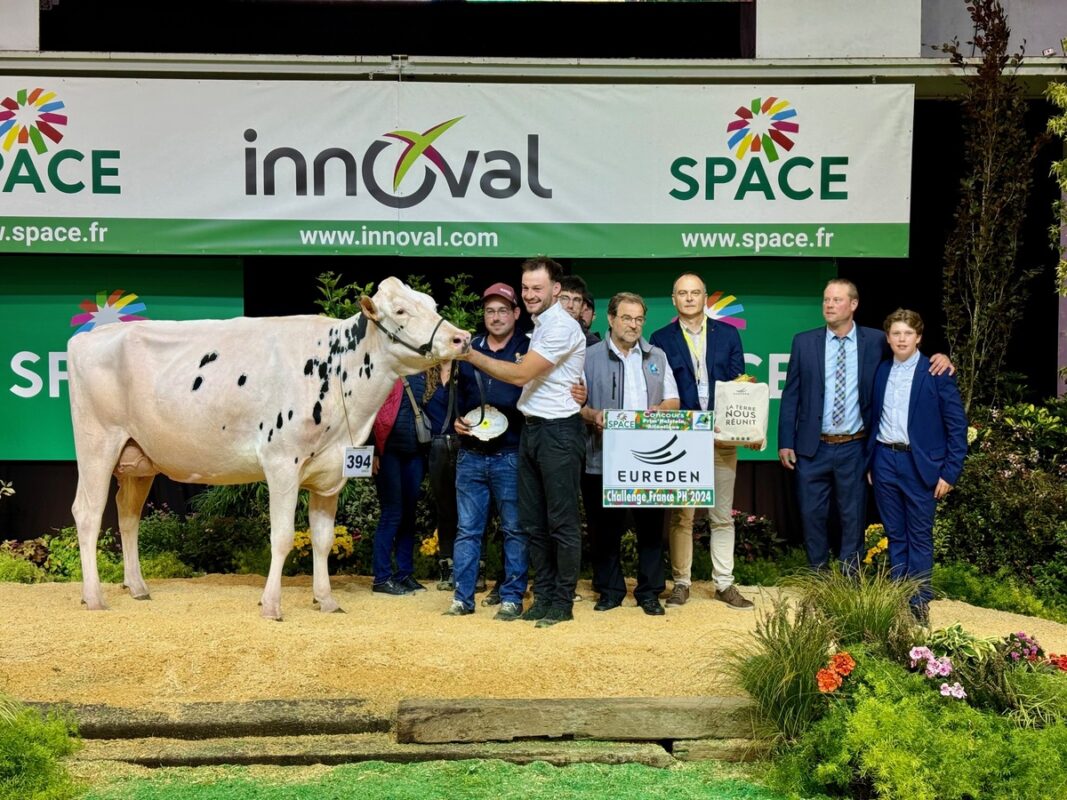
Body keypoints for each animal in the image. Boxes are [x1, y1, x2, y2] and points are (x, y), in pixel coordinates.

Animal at [66, 275, 467, 618]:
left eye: (431, 304)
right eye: (399, 311)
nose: (461, 338)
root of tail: (90, 337)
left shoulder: (331, 474)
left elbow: (322, 540)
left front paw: (326, 600)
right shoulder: (281, 463)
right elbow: (283, 537)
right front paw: (272, 605)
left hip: (138, 458)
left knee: (127, 515)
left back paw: (136, 587)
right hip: (97, 444)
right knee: (87, 514)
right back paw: (94, 597)